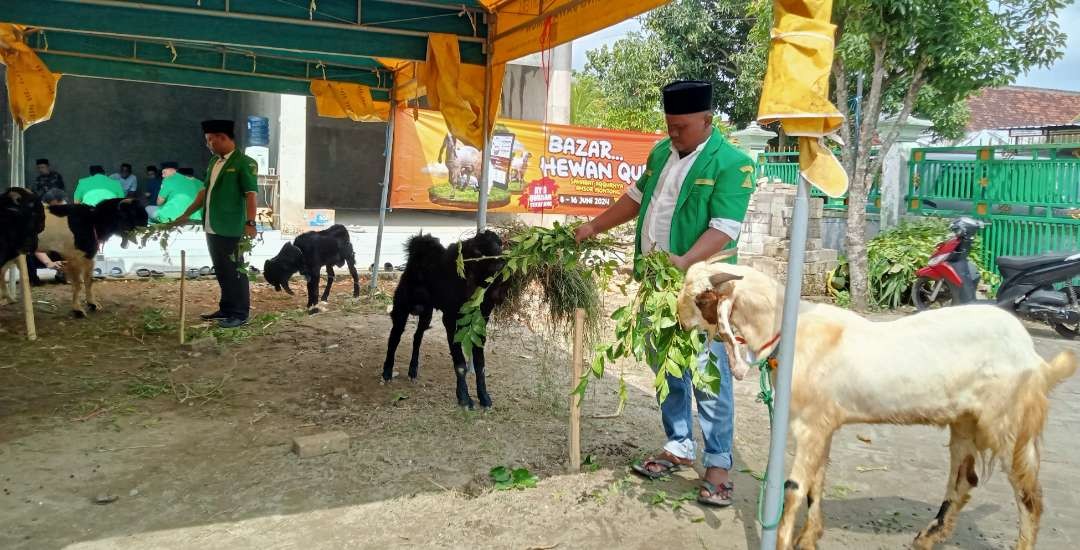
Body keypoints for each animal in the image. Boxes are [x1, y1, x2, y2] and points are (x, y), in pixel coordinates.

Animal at [382, 227, 507, 408]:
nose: (501, 264)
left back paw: (413, 370)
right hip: (401, 309)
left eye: (500, 244)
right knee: (394, 338)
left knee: (417, 337)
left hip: (426, 313)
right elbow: (460, 363)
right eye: (478, 251)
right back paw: (387, 372)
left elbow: (480, 364)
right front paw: (464, 399)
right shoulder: (450, 319)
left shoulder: (481, 321)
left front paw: (484, 397)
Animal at [678, 260, 1075, 548]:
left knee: (1030, 497)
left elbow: (794, 487)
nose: (679, 322)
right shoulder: (824, 425)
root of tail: (1034, 356)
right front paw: (810, 538)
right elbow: (816, 483)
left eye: (699, 299)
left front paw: (787, 541)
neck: (792, 328)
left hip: (1010, 425)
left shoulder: (810, 424)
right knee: (964, 481)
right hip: (965, 420)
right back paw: (927, 537)